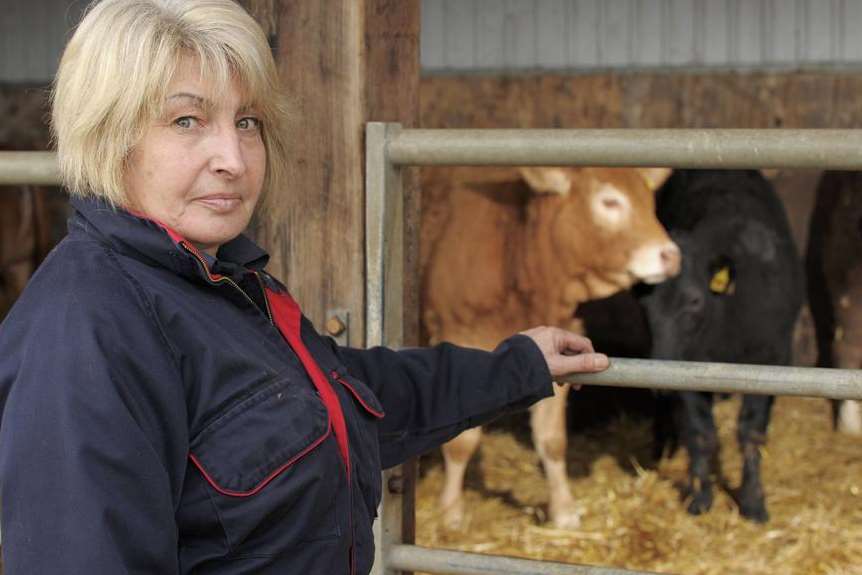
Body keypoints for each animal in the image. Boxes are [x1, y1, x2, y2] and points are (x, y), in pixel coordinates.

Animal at [426, 166, 680, 532]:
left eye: (650, 201)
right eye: (610, 201)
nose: (670, 255)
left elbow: (552, 439)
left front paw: (564, 509)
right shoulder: (460, 336)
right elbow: (463, 443)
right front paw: (450, 512)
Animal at [636, 170, 808, 520]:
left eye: (693, 300)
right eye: (643, 303)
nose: (660, 363)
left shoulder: (772, 359)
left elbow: (751, 432)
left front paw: (753, 501)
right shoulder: (686, 371)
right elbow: (701, 434)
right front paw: (701, 497)